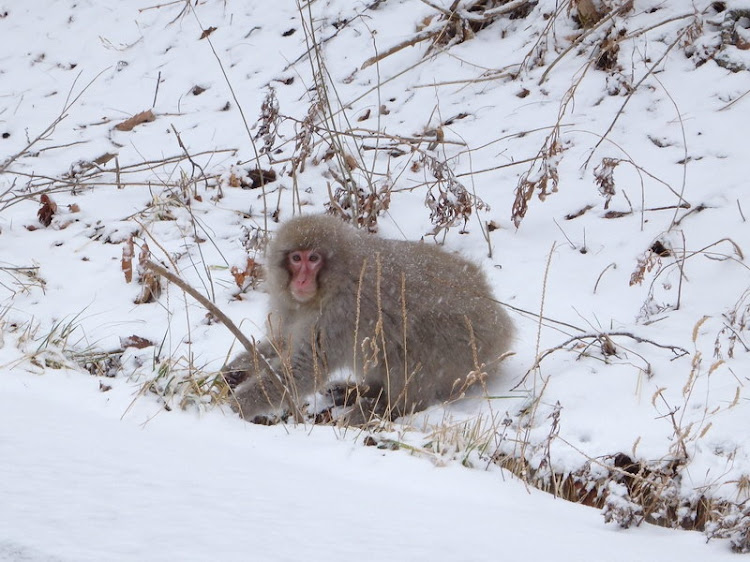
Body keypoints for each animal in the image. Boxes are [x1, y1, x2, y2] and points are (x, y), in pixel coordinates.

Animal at [225, 212, 516, 422]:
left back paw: (385, 408)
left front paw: (235, 407)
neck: (332, 283)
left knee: (405, 352)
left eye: (314, 258)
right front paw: (238, 368)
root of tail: (502, 324)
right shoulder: (294, 308)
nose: (302, 280)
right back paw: (358, 391)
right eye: (296, 258)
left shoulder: (341, 313)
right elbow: (283, 340)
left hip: (464, 352)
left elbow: (306, 369)